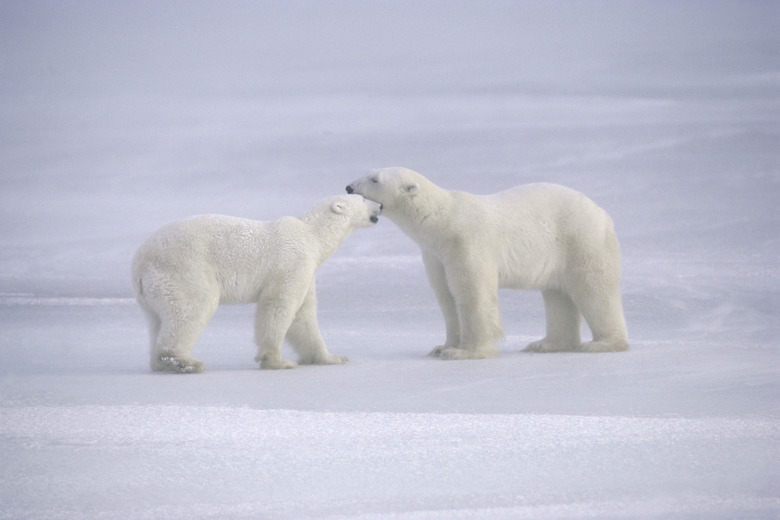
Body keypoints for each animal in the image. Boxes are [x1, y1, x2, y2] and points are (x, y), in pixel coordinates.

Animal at [131, 195, 380, 374]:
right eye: (362, 198)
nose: (380, 205)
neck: (312, 236)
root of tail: (140, 263)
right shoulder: (293, 262)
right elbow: (278, 305)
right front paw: (278, 361)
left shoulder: (307, 273)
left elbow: (303, 316)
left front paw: (332, 357)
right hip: (185, 269)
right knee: (193, 307)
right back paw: (185, 362)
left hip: (154, 290)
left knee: (158, 320)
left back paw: (160, 363)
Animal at [348, 169, 628, 360]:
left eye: (375, 179)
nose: (349, 187)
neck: (441, 221)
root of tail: (603, 214)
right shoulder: (435, 255)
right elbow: (446, 296)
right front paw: (442, 347)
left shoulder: (466, 241)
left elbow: (472, 292)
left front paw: (465, 352)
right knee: (557, 295)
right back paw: (546, 344)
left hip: (581, 240)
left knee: (594, 289)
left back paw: (603, 344)